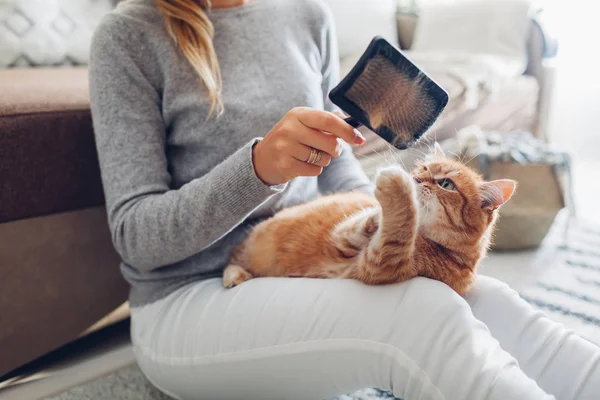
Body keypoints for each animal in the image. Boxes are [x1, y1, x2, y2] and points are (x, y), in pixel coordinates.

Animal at [225, 145, 516, 296]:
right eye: (422, 168)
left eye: (446, 184)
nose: (416, 178)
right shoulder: (344, 236)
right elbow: (368, 220)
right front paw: (380, 209)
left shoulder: (378, 264)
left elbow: (399, 229)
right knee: (234, 257)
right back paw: (235, 275)